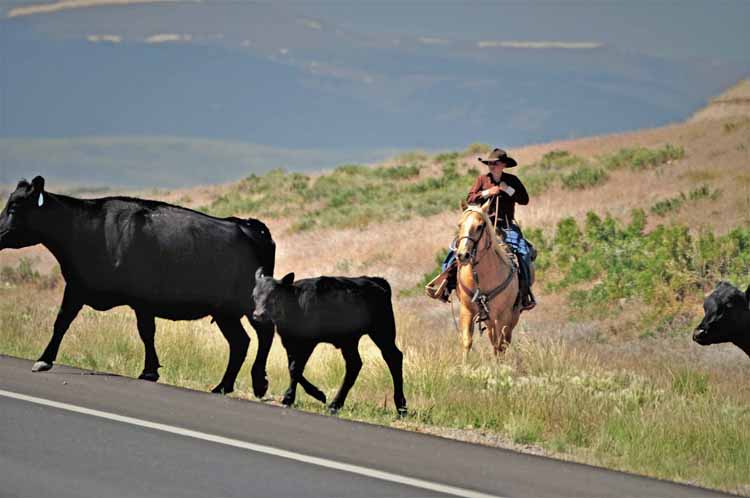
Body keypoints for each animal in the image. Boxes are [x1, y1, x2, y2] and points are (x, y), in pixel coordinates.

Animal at [0, 177, 276, 394]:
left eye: (13, 208)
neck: (84, 229)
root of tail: (249, 225)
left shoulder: (134, 297)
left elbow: (144, 331)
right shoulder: (80, 287)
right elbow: (63, 322)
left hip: (246, 304)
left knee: (264, 334)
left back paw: (258, 382)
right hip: (224, 312)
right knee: (240, 342)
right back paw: (223, 386)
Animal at [253, 270, 408, 414]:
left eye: (274, 295)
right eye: (254, 296)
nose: (258, 315)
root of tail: (375, 280)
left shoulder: (308, 342)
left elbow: (296, 368)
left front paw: (289, 398)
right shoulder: (289, 342)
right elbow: (292, 368)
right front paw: (317, 394)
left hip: (382, 331)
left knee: (393, 357)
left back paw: (401, 406)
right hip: (350, 340)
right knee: (354, 364)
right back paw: (335, 404)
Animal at [456, 200, 524, 356]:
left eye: (480, 226)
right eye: (460, 225)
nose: (463, 255)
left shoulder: (502, 316)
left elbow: (500, 345)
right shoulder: (466, 311)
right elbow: (467, 342)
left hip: (510, 318)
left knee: (503, 342)